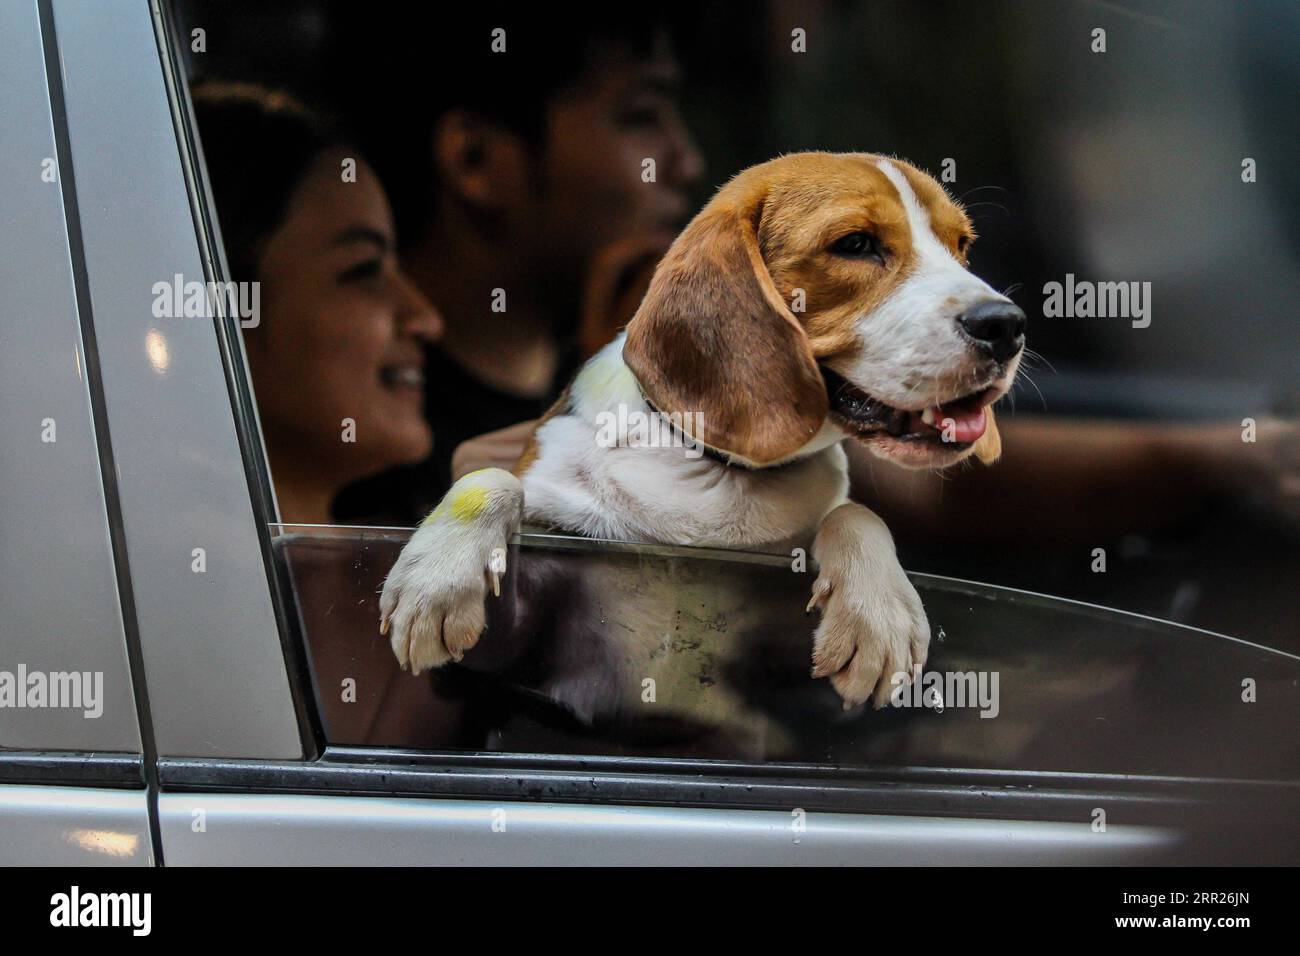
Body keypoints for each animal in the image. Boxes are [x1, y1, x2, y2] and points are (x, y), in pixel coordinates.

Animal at [379, 151, 1019, 712]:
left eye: (962, 246)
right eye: (855, 244)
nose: (1007, 325)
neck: (717, 465)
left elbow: (856, 513)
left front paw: (878, 611)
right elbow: (492, 480)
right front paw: (437, 580)